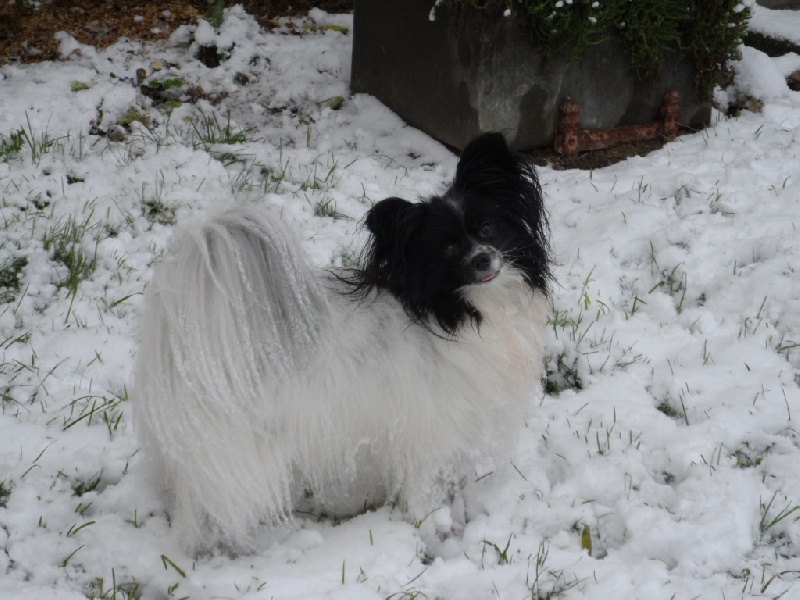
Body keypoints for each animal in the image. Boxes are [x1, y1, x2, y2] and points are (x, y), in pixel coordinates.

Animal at [134, 134, 552, 552]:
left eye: (488, 229)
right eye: (447, 248)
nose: (483, 259)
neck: (455, 313)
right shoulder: (429, 434)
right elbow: (423, 492)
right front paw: (433, 530)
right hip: (245, 448)